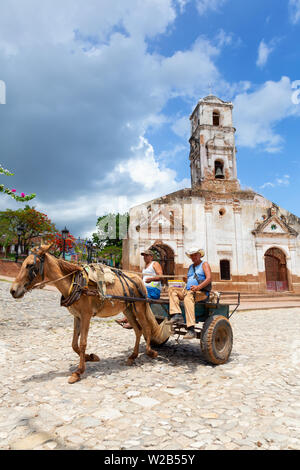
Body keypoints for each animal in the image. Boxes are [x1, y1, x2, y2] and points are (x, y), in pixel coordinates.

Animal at [9, 244, 169, 384]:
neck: (75, 284)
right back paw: (133, 356)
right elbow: (74, 344)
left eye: (30, 265)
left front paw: (79, 371)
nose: (13, 290)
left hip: (139, 307)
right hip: (128, 310)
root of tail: (138, 280)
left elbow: (82, 343)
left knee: (146, 328)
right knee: (138, 330)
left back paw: (150, 352)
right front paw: (90, 357)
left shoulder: (86, 316)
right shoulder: (77, 316)